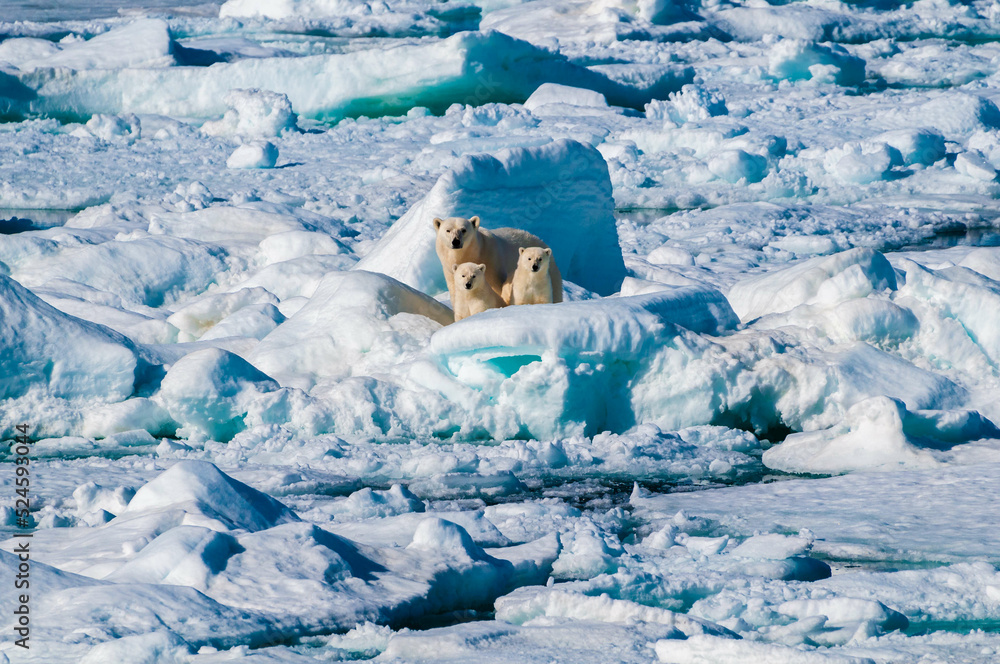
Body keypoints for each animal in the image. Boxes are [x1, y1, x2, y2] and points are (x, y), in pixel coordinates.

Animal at [434, 215, 563, 309]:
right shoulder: (449, 270)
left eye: (463, 230)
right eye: (448, 230)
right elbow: (455, 291)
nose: (456, 241)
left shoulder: (492, 262)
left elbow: (497, 288)